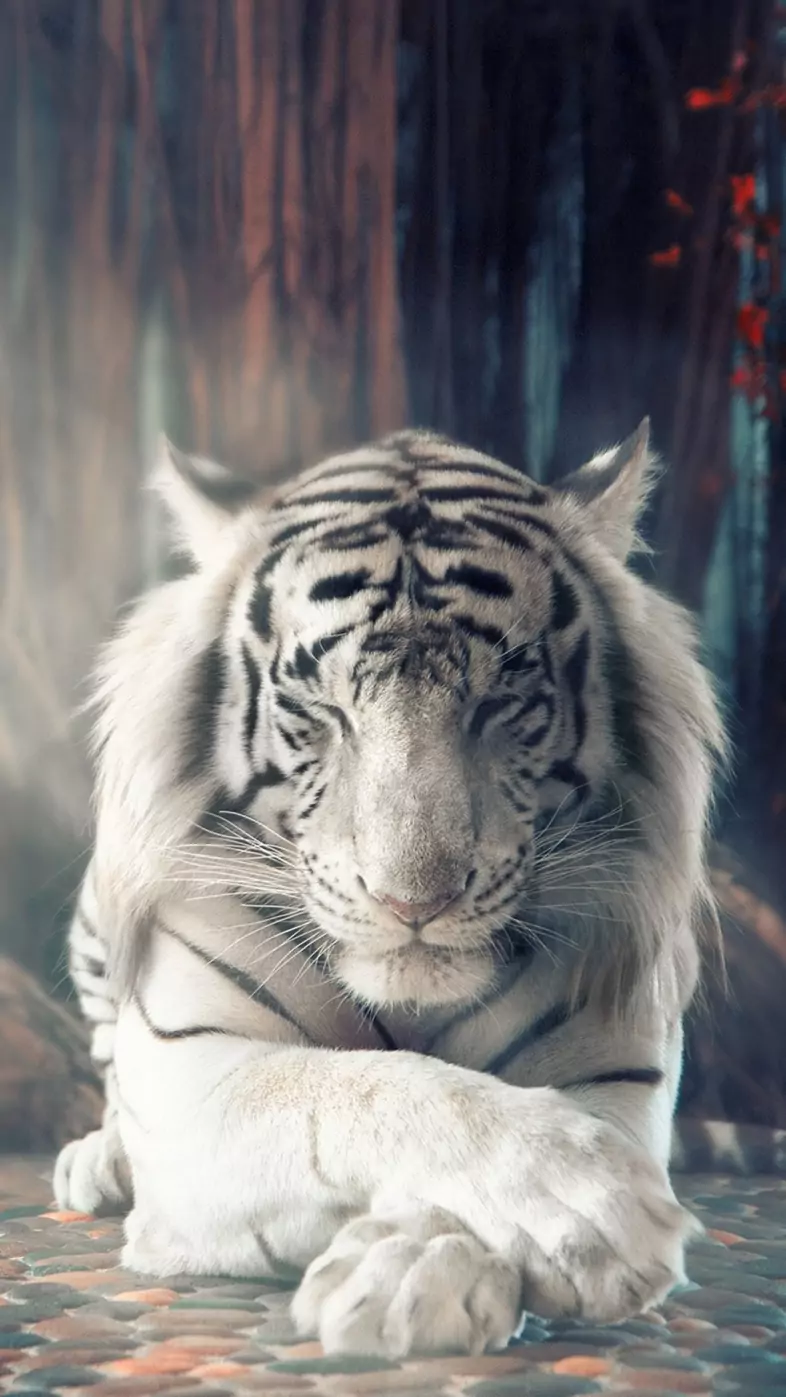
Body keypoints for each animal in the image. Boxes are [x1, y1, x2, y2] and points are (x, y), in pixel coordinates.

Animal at [53, 422, 783, 1360]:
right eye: (319, 709)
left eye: (503, 701)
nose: (413, 902)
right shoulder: (194, 1073)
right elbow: (366, 1087)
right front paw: (590, 1202)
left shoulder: (617, 1067)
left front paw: (413, 1270)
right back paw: (99, 1159)